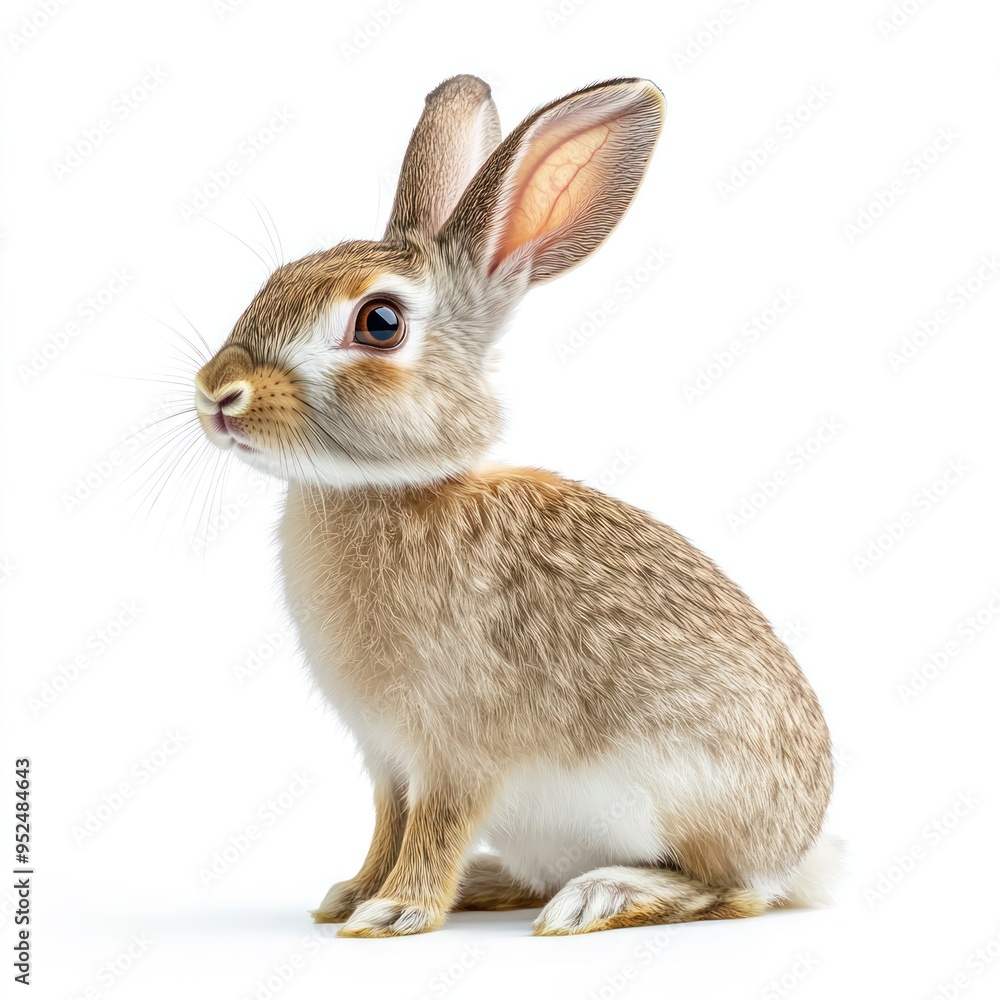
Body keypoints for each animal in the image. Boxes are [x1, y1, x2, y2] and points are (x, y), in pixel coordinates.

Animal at [193, 74, 837, 937]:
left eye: (380, 323)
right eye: (282, 274)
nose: (217, 393)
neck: (387, 489)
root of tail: (800, 853)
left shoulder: (459, 751)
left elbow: (435, 827)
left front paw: (396, 911)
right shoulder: (387, 759)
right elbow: (389, 823)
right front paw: (352, 895)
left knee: (730, 892)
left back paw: (597, 897)